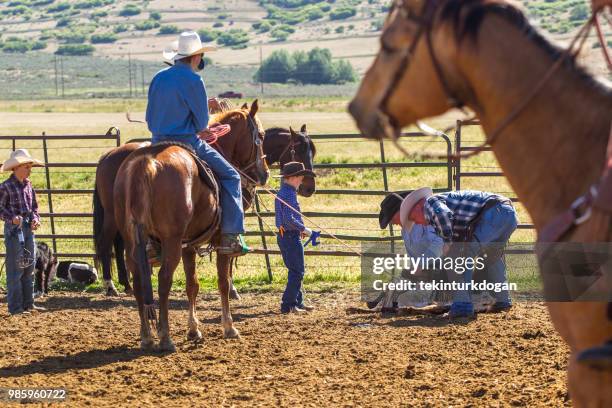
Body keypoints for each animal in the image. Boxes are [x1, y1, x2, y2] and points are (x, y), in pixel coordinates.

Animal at [115, 105, 268, 350]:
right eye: (260, 136)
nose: (264, 173)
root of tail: (146, 162)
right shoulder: (218, 242)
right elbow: (223, 282)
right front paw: (229, 327)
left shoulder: (189, 244)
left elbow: (192, 285)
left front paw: (194, 330)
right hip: (171, 241)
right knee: (164, 280)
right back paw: (165, 338)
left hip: (133, 242)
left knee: (139, 280)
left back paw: (147, 336)